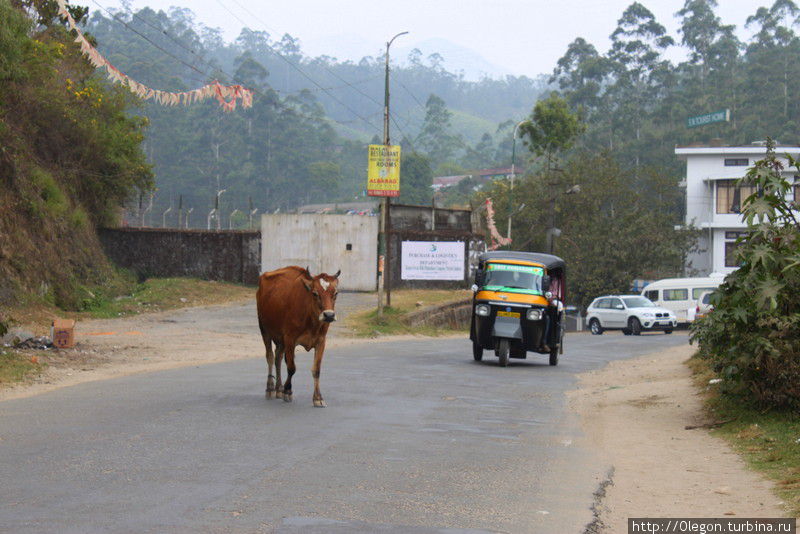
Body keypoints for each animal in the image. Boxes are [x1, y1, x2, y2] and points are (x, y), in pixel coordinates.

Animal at [258, 266, 340, 408]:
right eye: (315, 293)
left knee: (278, 357)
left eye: (335, 293)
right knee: (270, 357)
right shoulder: (290, 339)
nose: (329, 315)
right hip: (264, 330)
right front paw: (288, 391)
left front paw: (318, 398)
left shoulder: (321, 341)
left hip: (281, 340)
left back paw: (279, 388)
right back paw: (270, 388)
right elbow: (291, 367)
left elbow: (316, 370)